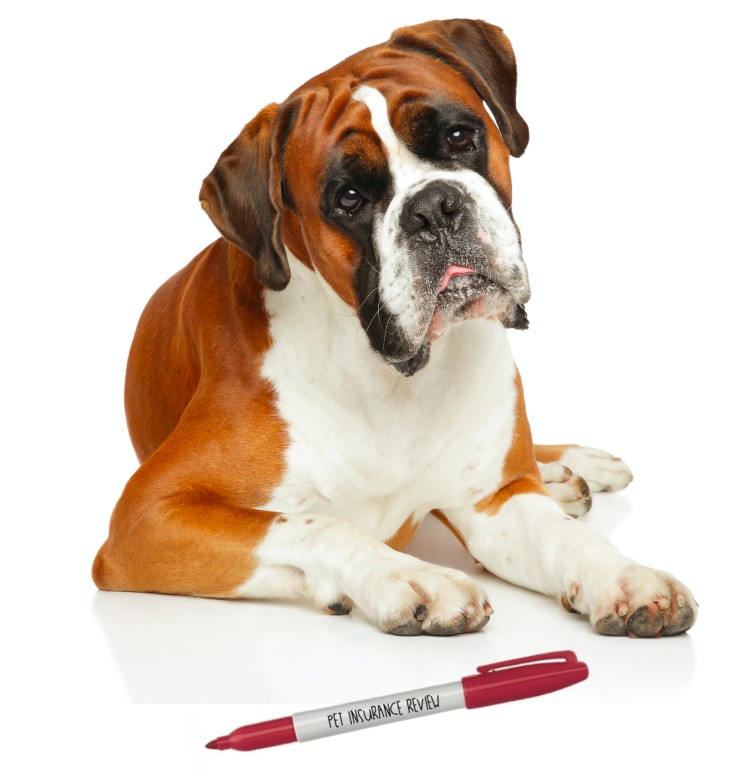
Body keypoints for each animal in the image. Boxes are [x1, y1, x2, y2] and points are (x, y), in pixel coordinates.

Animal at [92, 18, 692, 636]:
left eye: (459, 136)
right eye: (349, 197)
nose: (433, 207)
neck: (388, 376)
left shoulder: (494, 502)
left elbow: (563, 538)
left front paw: (625, 577)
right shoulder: (148, 516)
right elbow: (314, 524)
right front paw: (411, 578)